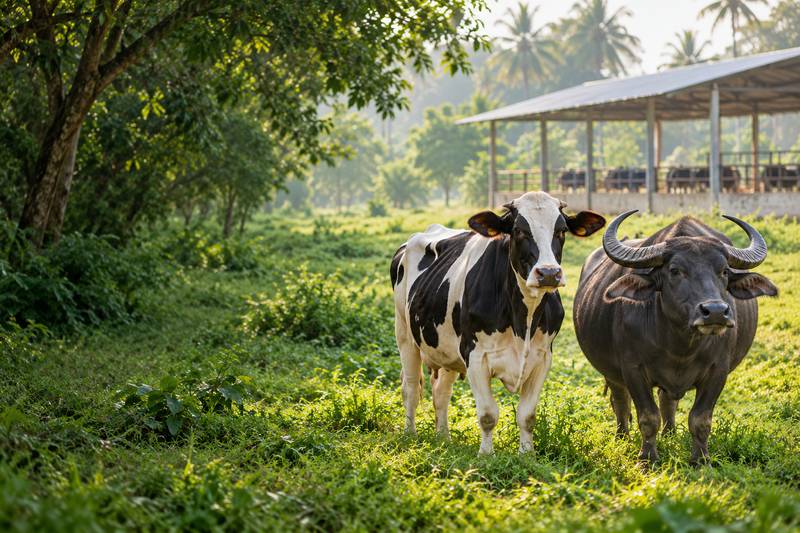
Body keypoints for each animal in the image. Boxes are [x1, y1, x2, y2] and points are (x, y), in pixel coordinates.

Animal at [390, 191, 605, 454]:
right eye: (519, 230)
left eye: (562, 230)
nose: (548, 273)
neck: (523, 320)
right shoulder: (475, 355)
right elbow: (487, 414)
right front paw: (486, 454)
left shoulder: (543, 357)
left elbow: (527, 415)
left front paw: (527, 454)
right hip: (404, 334)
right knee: (410, 388)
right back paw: (410, 434)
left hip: (446, 350)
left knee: (441, 393)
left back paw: (443, 438)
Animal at [573, 211, 777, 464]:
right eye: (675, 271)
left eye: (724, 271)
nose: (716, 311)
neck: (679, 345)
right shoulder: (632, 369)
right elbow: (648, 417)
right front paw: (647, 459)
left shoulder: (718, 371)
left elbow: (700, 419)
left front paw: (701, 460)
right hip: (610, 372)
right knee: (620, 402)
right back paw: (622, 437)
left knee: (667, 400)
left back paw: (669, 434)